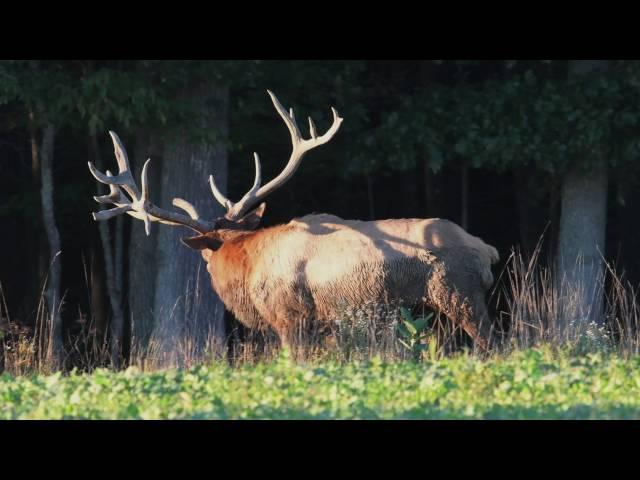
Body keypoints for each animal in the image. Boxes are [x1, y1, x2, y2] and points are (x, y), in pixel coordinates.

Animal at [87, 92, 500, 350]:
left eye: (206, 253)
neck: (248, 266)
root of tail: (487, 250)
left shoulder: (291, 317)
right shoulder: (328, 325)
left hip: (460, 293)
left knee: (494, 343)